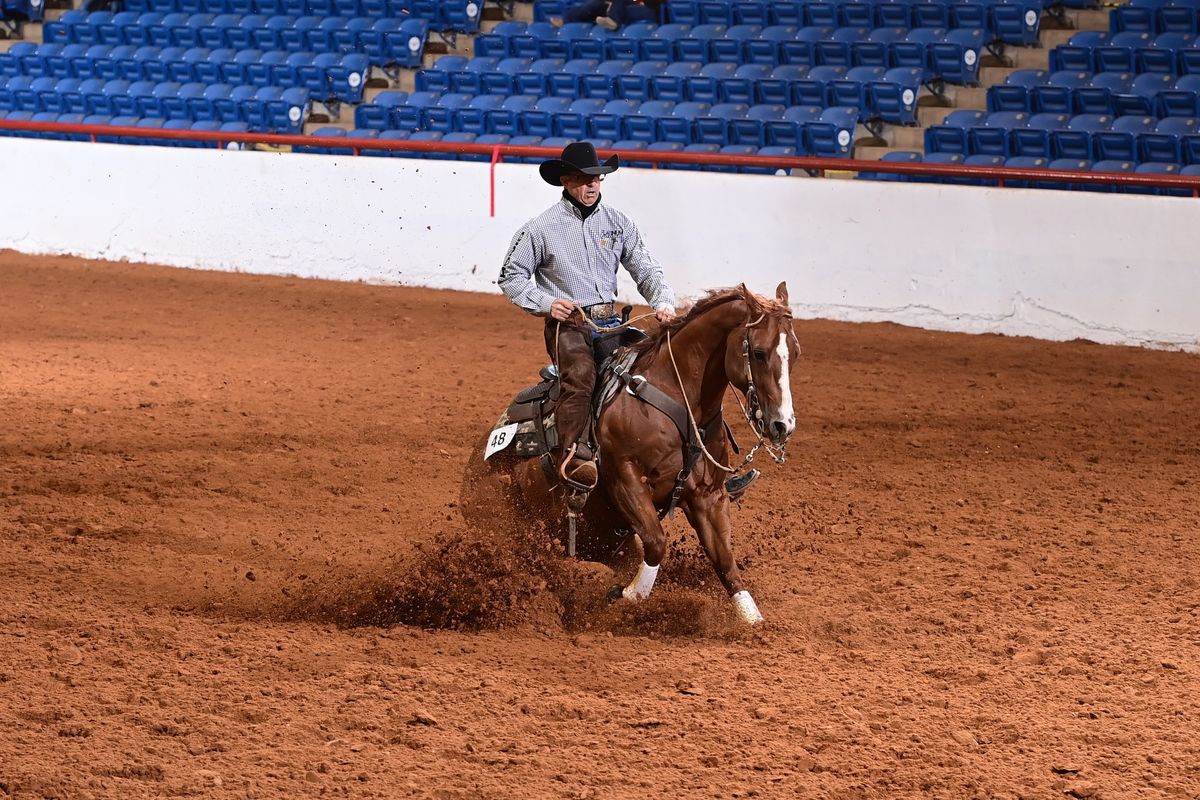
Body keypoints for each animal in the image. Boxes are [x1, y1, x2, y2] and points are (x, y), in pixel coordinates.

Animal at [463, 284, 801, 628]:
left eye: (796, 354)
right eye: (758, 352)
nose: (782, 425)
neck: (677, 399)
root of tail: (475, 463)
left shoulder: (708, 497)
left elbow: (725, 560)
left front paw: (754, 622)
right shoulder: (626, 479)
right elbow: (656, 542)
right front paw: (624, 596)